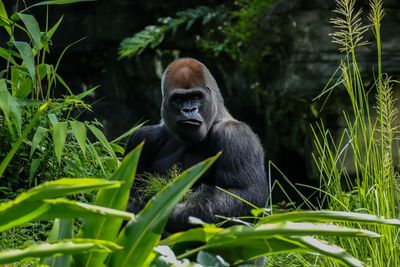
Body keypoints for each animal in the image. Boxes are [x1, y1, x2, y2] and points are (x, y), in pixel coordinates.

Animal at [126, 57, 268, 233]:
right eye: (178, 99)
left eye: (195, 97)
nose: (188, 110)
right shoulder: (142, 137)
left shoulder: (236, 135)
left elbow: (244, 194)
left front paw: (167, 213)